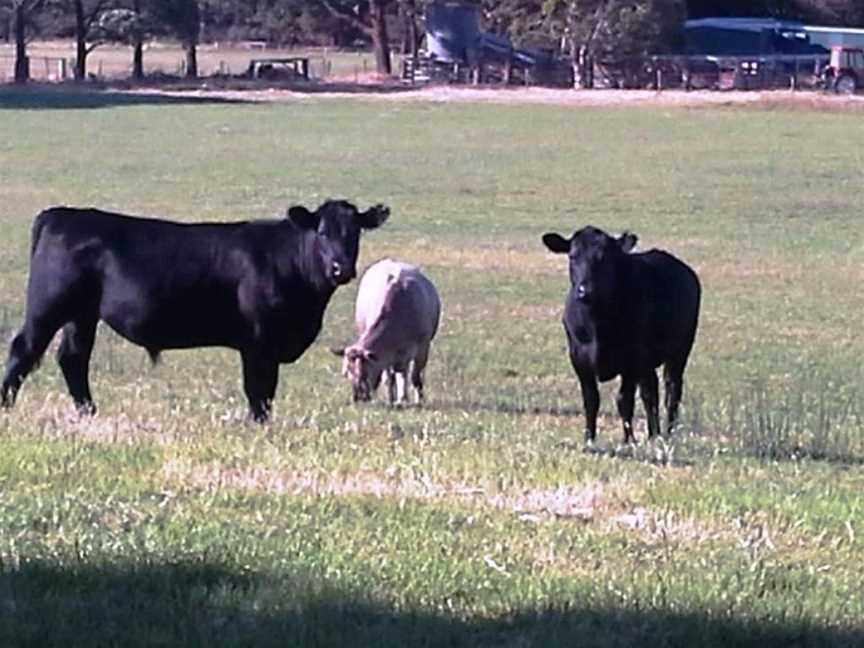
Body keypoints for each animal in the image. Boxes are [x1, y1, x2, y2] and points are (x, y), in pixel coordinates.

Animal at [0, 200, 386, 420]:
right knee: (24, 349)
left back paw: (89, 413)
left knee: (73, 358)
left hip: (82, 315)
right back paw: (8, 407)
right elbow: (258, 391)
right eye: (321, 232)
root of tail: (62, 215)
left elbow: (266, 392)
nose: (340, 269)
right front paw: (258, 426)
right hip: (48, 305)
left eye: (355, 232)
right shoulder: (259, 341)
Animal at [540, 225, 704, 442]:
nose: (585, 290)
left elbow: (624, 400)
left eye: (603, 258)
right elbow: (591, 400)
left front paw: (628, 440)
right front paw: (589, 439)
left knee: (672, 391)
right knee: (650, 391)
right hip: (648, 362)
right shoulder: (579, 358)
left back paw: (669, 434)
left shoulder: (632, 359)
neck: (596, 326)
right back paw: (653, 435)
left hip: (680, 350)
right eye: (572, 256)